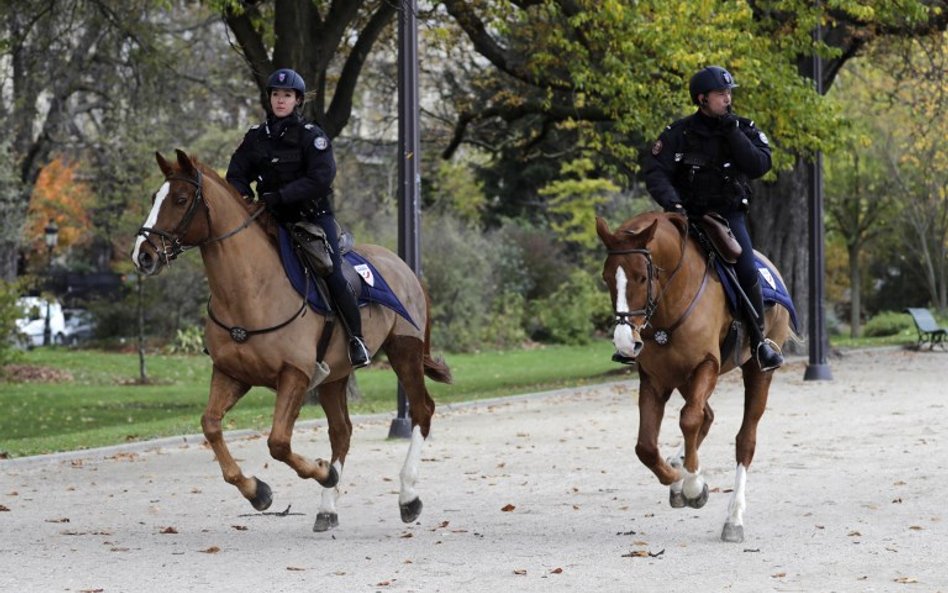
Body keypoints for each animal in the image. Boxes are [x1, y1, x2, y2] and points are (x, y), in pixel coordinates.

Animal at [132, 148, 452, 532]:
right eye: (154, 197)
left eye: (180, 200)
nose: (143, 254)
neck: (251, 291)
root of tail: (403, 266)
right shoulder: (231, 375)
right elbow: (210, 425)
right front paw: (257, 491)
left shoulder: (295, 375)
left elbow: (278, 442)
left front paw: (318, 473)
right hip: (335, 376)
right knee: (341, 431)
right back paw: (327, 508)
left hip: (404, 352)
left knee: (421, 411)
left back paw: (407, 496)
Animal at [596, 212, 796, 540]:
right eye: (607, 278)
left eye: (641, 277)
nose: (625, 341)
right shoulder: (655, 379)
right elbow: (645, 447)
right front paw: (676, 477)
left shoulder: (706, 365)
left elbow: (689, 419)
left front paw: (692, 485)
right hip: (682, 379)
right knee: (707, 416)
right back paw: (679, 465)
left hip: (756, 371)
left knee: (744, 438)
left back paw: (733, 518)